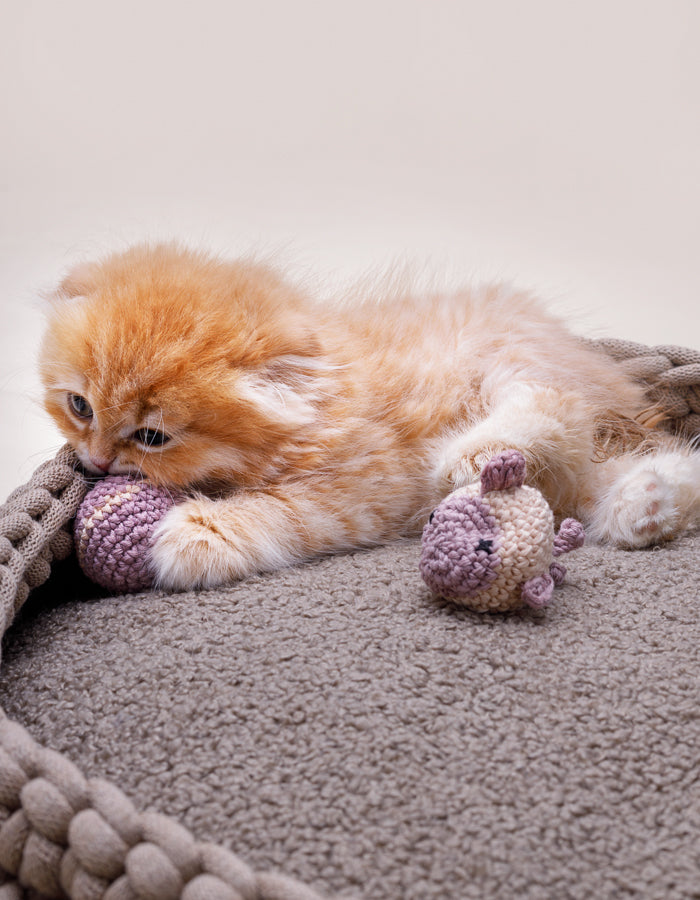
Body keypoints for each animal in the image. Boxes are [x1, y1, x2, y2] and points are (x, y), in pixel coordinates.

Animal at [39, 243, 700, 592]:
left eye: (152, 437)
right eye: (80, 407)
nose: (97, 461)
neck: (321, 405)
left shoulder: (364, 487)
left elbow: (283, 512)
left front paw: (199, 533)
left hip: (511, 361)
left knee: (556, 406)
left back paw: (473, 454)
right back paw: (645, 506)